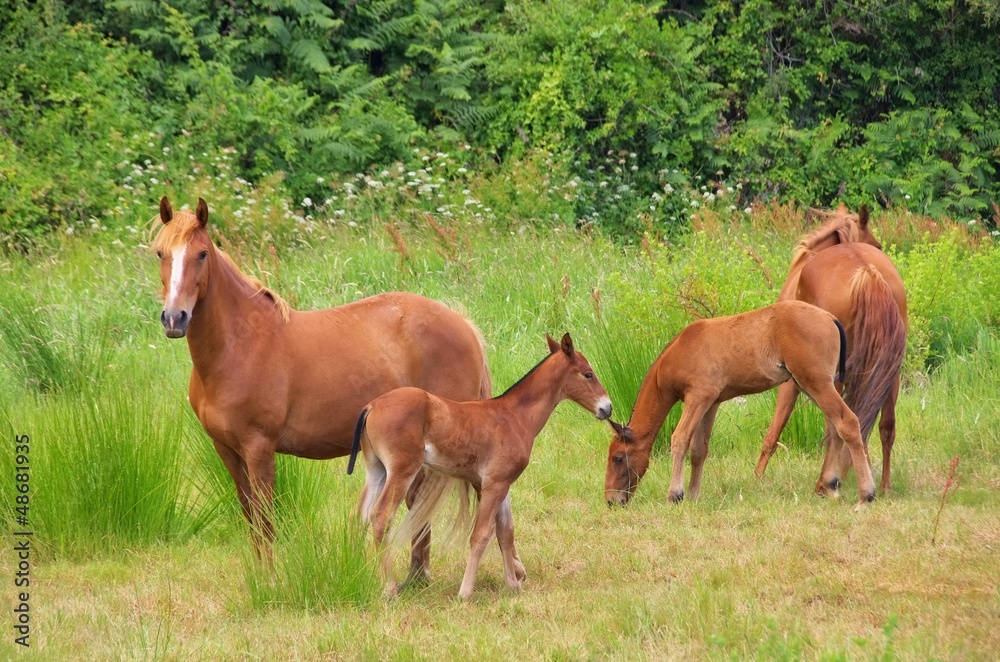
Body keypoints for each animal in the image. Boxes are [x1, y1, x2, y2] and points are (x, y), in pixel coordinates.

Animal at [150, 196, 492, 578]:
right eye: (161, 253)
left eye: (202, 254)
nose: (174, 318)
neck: (239, 345)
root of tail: (462, 324)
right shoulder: (225, 449)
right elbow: (249, 514)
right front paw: (259, 574)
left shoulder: (259, 448)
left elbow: (265, 518)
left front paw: (270, 580)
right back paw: (416, 578)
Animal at [349, 333, 612, 600]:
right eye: (588, 374)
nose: (607, 408)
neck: (514, 416)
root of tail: (372, 406)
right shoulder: (494, 484)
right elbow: (481, 534)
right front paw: (466, 592)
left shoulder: (500, 484)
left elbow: (505, 532)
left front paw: (513, 585)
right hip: (402, 471)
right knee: (380, 516)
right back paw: (389, 588)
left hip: (377, 470)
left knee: (360, 515)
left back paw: (359, 573)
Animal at [604, 300, 877, 508]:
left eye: (617, 458)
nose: (610, 500)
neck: (680, 350)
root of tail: (830, 318)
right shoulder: (711, 403)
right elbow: (699, 450)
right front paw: (693, 495)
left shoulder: (698, 397)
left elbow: (680, 439)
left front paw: (676, 495)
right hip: (815, 386)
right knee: (834, 430)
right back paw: (831, 486)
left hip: (816, 384)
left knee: (847, 423)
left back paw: (866, 495)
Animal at [755, 205, 908, 495]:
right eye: (878, 244)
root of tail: (867, 271)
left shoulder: (793, 380)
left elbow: (775, 428)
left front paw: (757, 476)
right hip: (889, 371)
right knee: (886, 425)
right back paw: (883, 486)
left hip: (833, 377)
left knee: (838, 424)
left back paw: (825, 483)